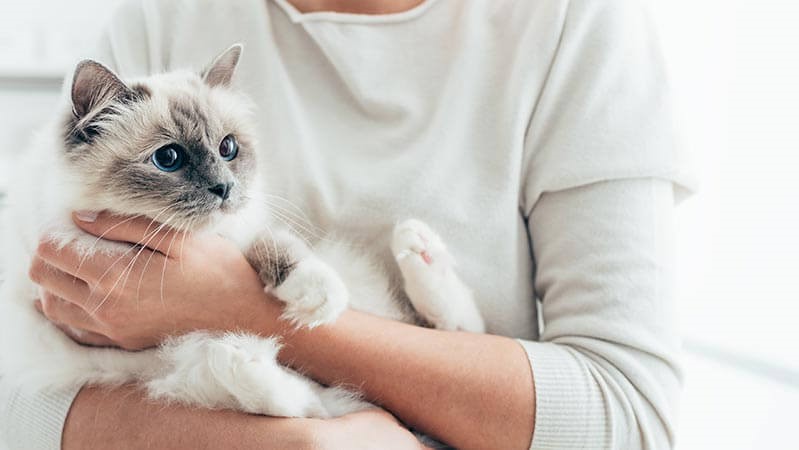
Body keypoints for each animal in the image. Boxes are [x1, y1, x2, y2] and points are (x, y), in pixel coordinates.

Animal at [0, 44, 484, 420]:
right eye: (168, 158)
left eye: (227, 148)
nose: (225, 188)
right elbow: (293, 403)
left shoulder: (244, 229)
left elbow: (277, 246)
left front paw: (316, 297)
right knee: (295, 398)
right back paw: (240, 357)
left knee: (455, 328)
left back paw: (417, 246)